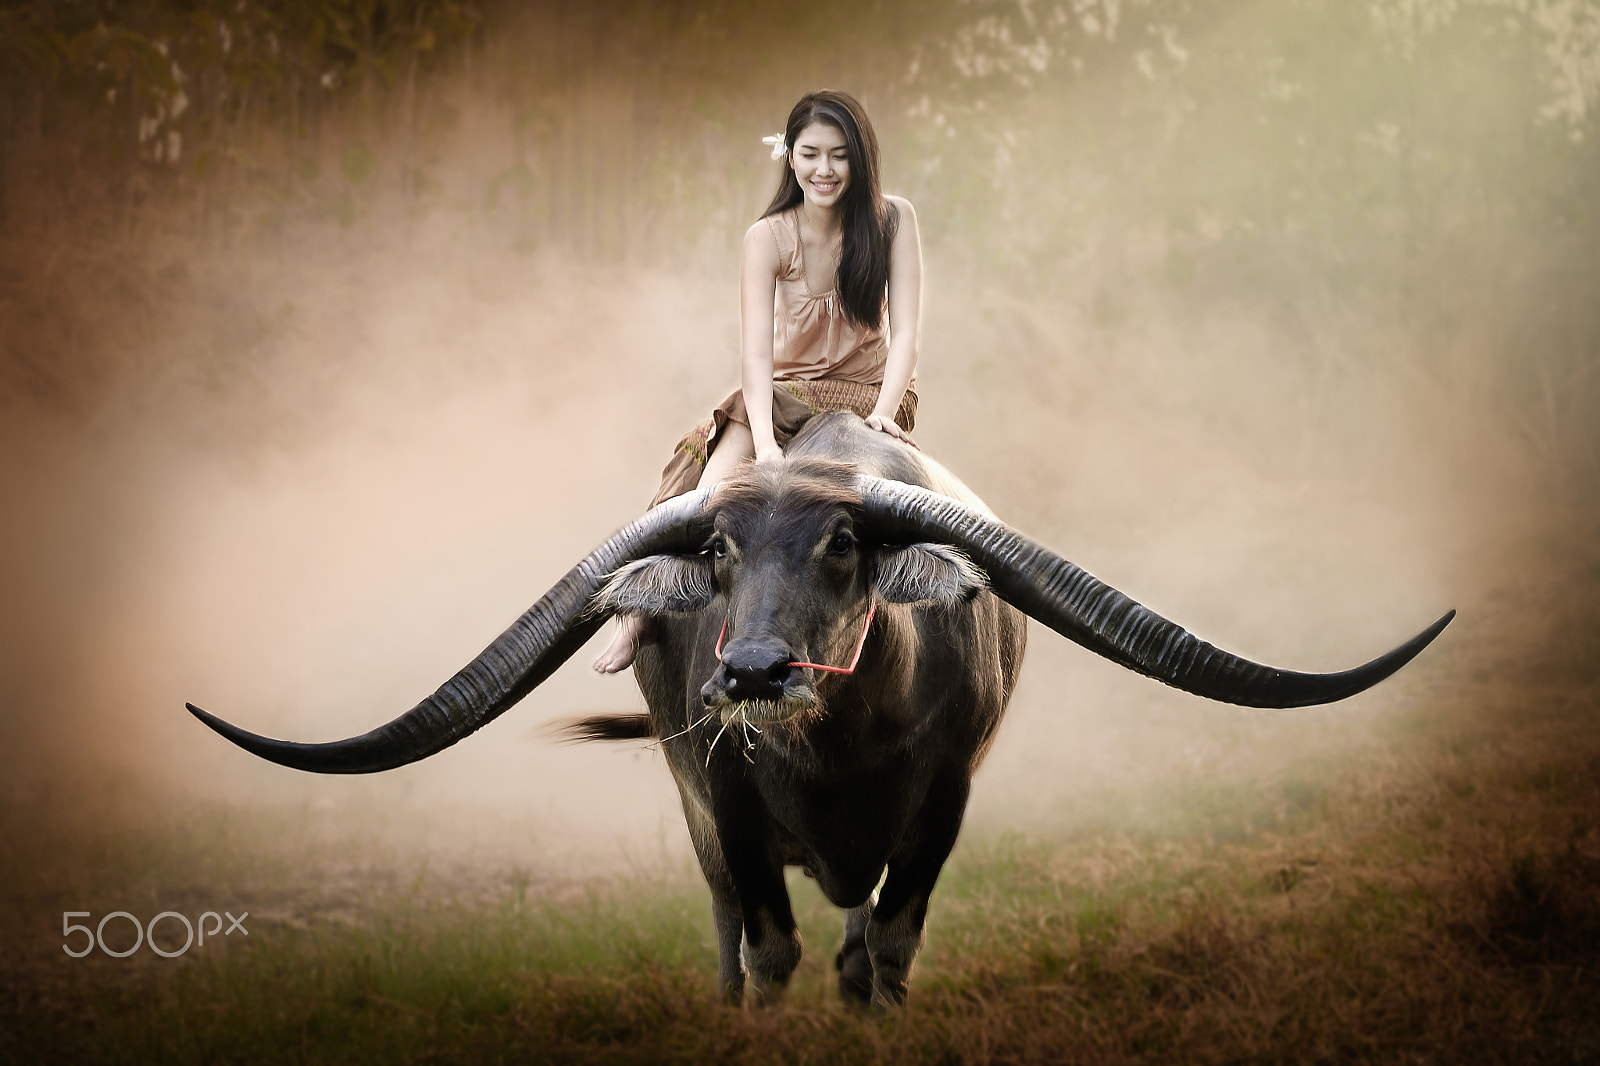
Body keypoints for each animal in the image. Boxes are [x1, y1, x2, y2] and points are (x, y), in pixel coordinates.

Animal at [184, 409, 1452, 1011]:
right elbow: (772, 947)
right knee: (729, 927)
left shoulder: (942, 801)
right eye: (720, 552)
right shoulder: (729, 802)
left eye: (845, 542)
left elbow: (881, 947)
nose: (749, 672)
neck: (839, 753)